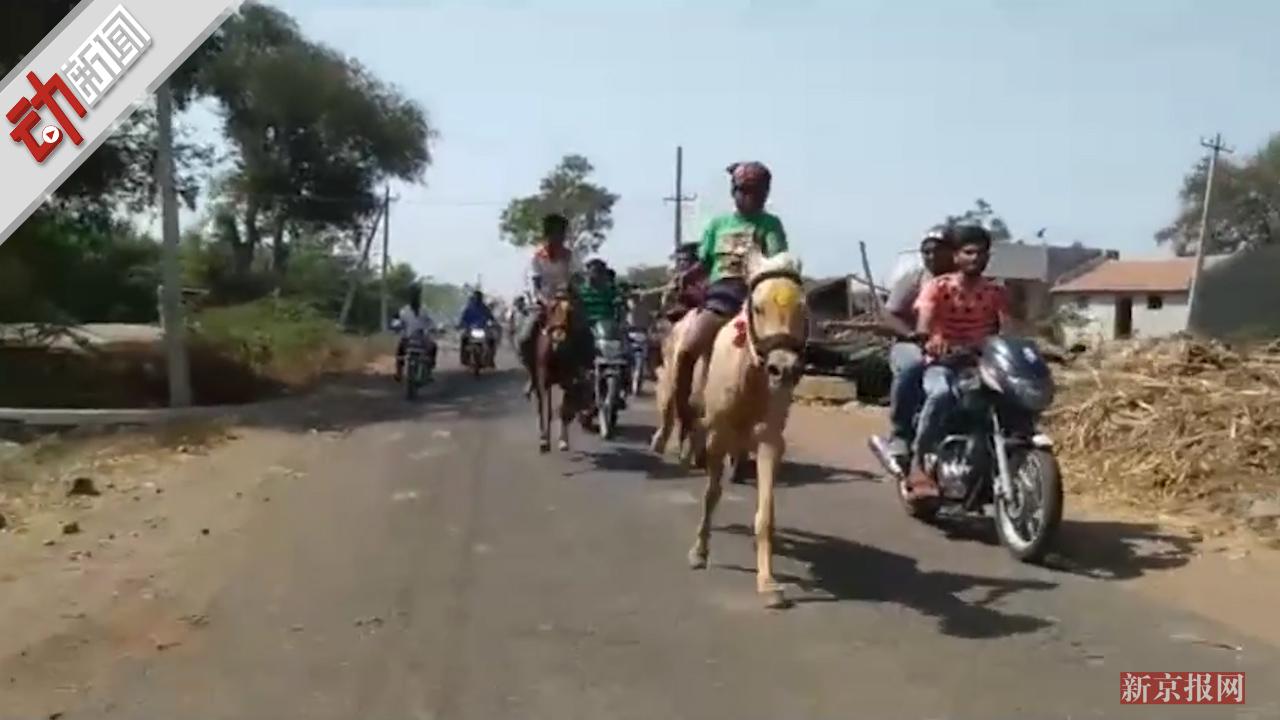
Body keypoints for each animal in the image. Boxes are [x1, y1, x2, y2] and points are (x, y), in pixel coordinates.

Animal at [686, 249, 803, 607]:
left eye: (802, 308)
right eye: (758, 308)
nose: (784, 369)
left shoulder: (770, 442)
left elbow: (766, 514)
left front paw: (768, 583)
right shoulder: (717, 435)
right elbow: (711, 494)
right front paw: (700, 551)